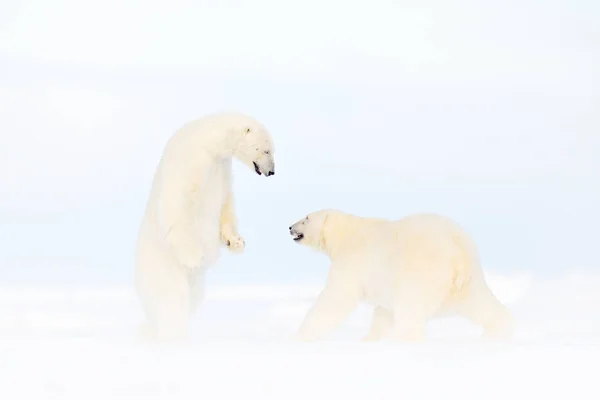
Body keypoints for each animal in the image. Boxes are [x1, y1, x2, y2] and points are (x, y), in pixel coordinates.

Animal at [135, 111, 276, 340]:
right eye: (266, 149)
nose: (272, 171)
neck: (212, 141)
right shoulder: (193, 159)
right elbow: (179, 203)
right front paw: (194, 257)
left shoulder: (222, 167)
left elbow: (225, 201)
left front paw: (236, 241)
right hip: (162, 268)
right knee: (173, 299)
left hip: (196, 284)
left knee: (193, 298)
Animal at [288, 208, 512, 342]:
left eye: (306, 218)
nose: (290, 227)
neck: (346, 234)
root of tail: (458, 249)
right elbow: (383, 311)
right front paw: (370, 339)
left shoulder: (353, 261)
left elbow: (336, 297)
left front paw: (302, 334)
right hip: (469, 279)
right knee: (481, 303)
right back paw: (500, 331)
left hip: (422, 271)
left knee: (411, 311)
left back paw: (406, 340)